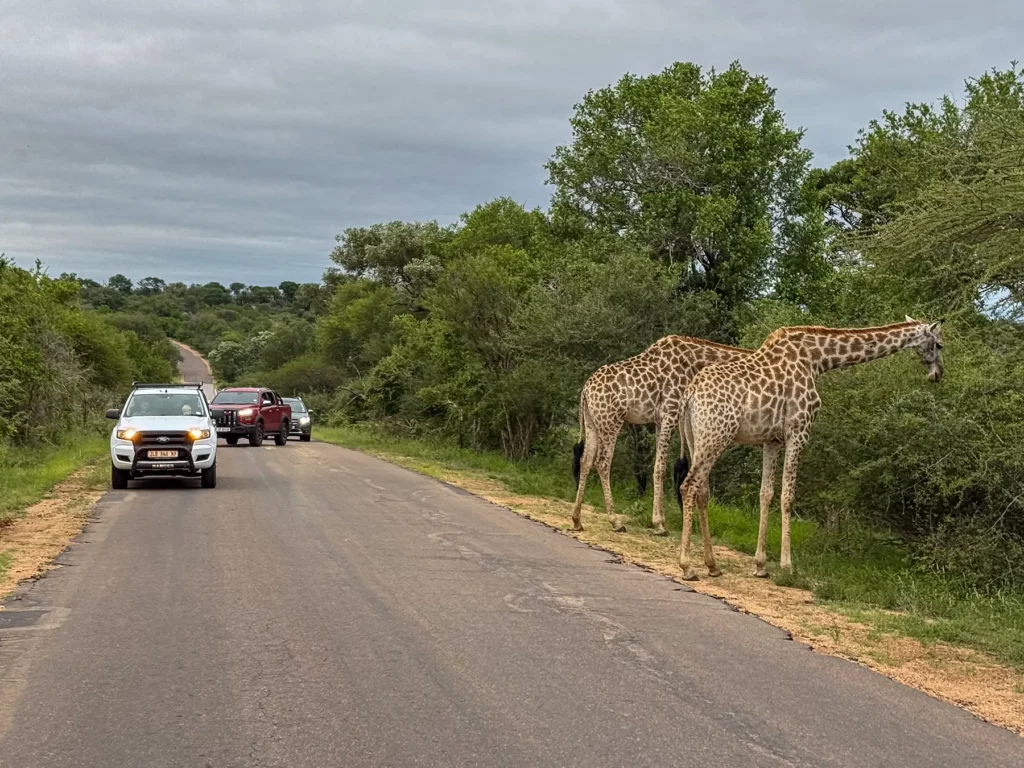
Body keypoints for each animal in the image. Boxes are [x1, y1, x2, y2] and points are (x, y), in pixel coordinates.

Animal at [571, 335, 754, 534]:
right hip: (611, 422)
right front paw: (659, 523)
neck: (695, 363)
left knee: (586, 460)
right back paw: (616, 521)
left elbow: (659, 466)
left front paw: (661, 521)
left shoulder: (660, 421)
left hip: (592, 422)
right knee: (602, 462)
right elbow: (660, 467)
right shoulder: (671, 413)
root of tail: (585, 390)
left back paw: (577, 519)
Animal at [676, 317, 944, 581]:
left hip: (696, 438)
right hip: (717, 435)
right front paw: (787, 566)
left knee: (702, 490)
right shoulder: (799, 431)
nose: (938, 374)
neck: (817, 360)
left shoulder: (772, 440)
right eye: (939, 344)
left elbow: (766, 494)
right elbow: (787, 496)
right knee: (689, 486)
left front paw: (760, 565)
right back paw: (687, 567)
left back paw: (712, 565)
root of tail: (689, 395)